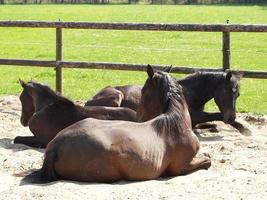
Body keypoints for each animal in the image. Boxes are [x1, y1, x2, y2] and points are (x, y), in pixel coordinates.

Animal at [22, 65, 211, 183]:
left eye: (144, 90)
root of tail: (56, 146)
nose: (139, 116)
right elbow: (208, 161)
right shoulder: (181, 167)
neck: (174, 121)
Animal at [85, 67, 242, 126]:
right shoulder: (194, 116)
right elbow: (214, 115)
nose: (231, 117)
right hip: (117, 96)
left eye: (238, 94)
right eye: (227, 91)